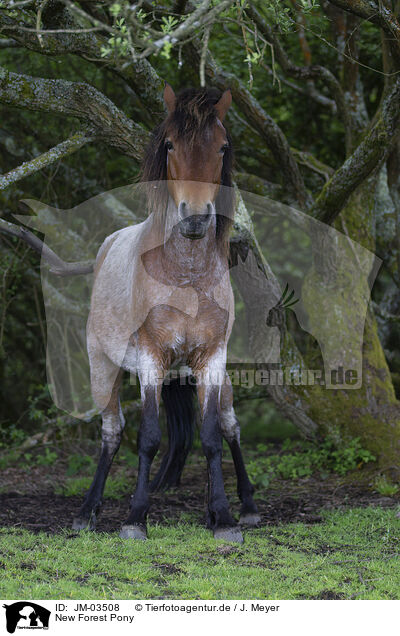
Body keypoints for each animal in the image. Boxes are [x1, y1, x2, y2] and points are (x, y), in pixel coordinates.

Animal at [71, 83, 260, 540]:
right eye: (171, 144)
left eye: (222, 146)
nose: (195, 218)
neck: (186, 276)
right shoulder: (150, 361)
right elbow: (149, 437)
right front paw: (135, 518)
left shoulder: (212, 359)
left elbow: (212, 435)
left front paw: (224, 517)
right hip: (102, 366)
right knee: (111, 431)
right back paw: (87, 511)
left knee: (229, 426)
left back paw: (243, 506)